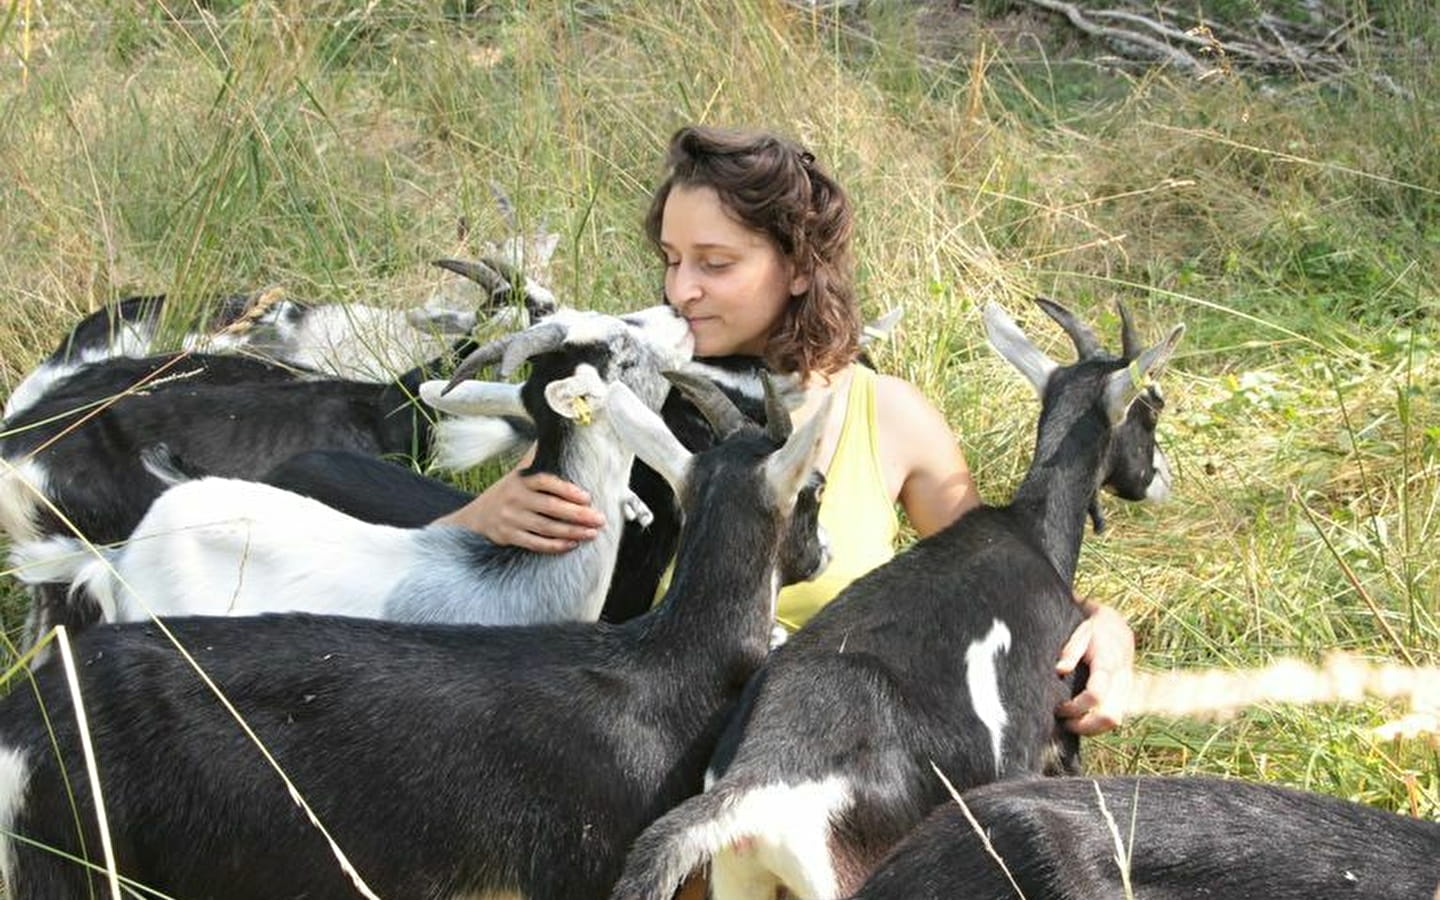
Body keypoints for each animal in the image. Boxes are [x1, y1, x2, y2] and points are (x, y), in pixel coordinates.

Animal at [607, 298, 1180, 892]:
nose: (1160, 478)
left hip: (740, 879)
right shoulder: (1043, 747)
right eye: (1154, 403)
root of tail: (749, 784)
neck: (1034, 534)